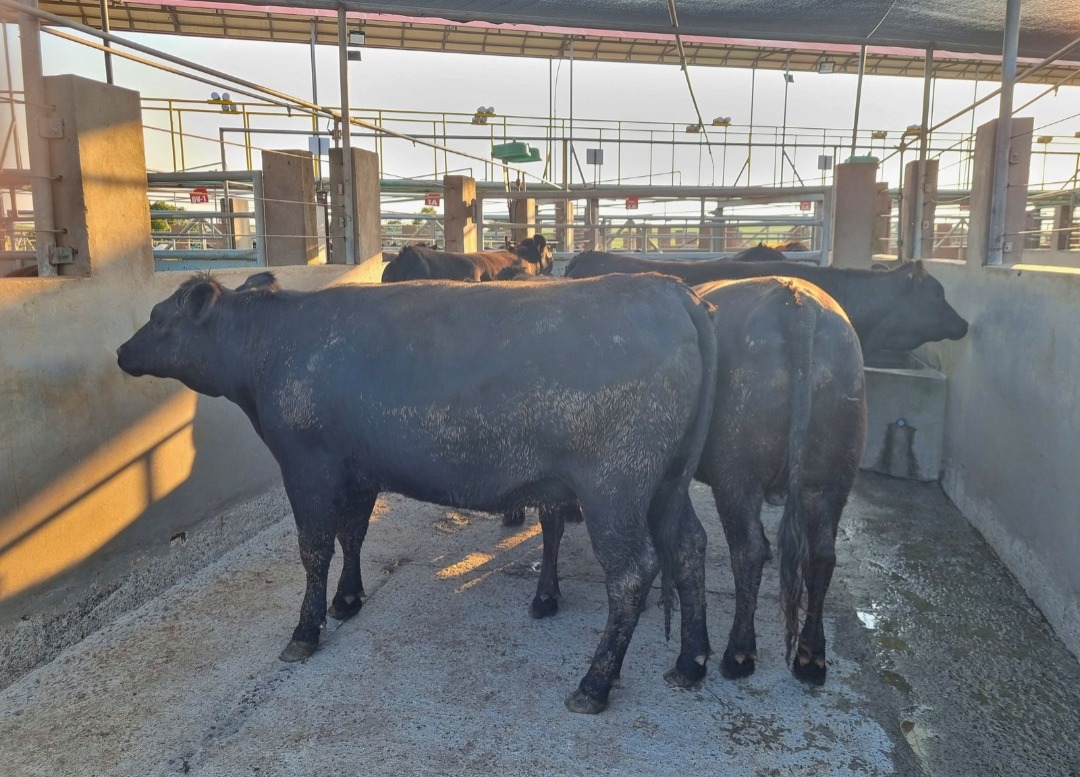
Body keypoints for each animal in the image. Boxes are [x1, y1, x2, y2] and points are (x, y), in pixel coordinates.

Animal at [116, 271, 718, 714]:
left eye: (158, 317)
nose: (122, 352)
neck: (274, 345)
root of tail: (670, 289)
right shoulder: (358, 469)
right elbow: (352, 534)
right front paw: (348, 600)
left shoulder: (307, 466)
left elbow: (315, 549)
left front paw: (306, 629)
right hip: (664, 483)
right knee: (689, 546)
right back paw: (691, 662)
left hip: (614, 486)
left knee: (632, 573)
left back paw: (594, 683)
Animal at [525, 276, 866, 685]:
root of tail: (797, 304)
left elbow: (552, 525)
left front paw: (545, 597)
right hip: (829, 481)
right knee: (821, 556)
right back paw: (811, 657)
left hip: (738, 476)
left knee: (748, 550)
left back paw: (739, 652)